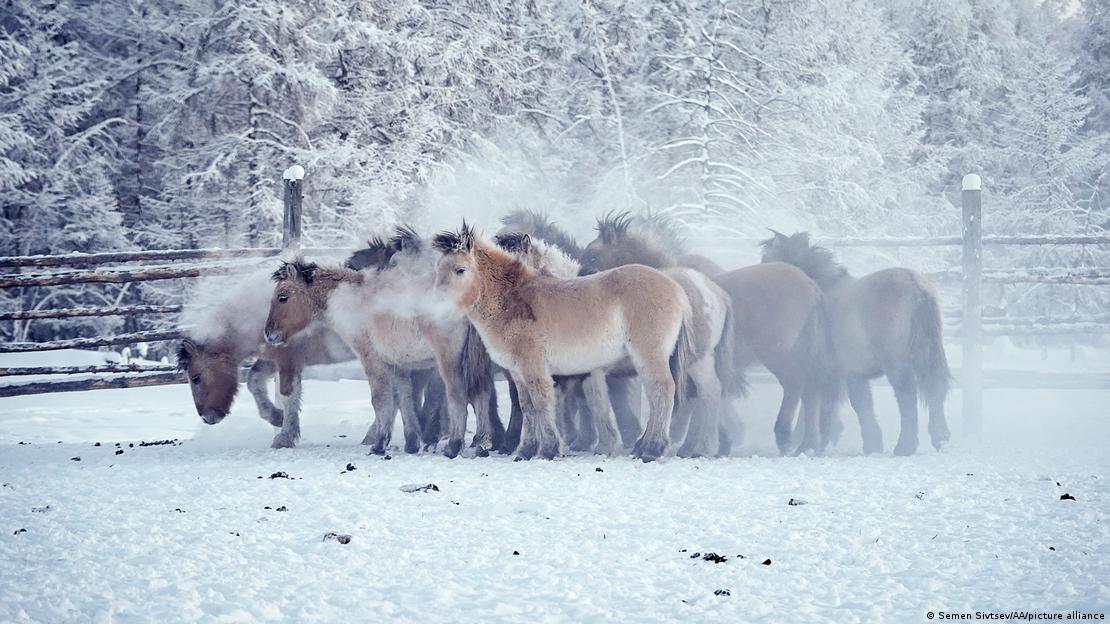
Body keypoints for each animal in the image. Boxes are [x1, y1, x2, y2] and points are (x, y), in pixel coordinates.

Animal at [176, 269, 355, 448]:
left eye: (196, 378)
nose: (205, 418)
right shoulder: (272, 360)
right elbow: (254, 381)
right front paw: (276, 417)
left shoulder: (288, 361)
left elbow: (287, 395)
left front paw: (284, 437)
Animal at [264, 233, 504, 458]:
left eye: (282, 297)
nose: (269, 334)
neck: (353, 299)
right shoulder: (399, 365)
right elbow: (405, 400)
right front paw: (411, 443)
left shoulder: (372, 360)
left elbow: (380, 399)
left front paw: (379, 444)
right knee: (483, 394)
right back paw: (483, 444)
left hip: (449, 361)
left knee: (458, 394)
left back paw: (454, 445)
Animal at [432, 222, 693, 462]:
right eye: (438, 269)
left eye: (460, 269)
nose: (437, 305)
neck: (512, 300)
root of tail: (677, 289)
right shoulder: (518, 373)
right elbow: (527, 407)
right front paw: (526, 450)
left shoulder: (535, 368)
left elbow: (542, 402)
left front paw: (548, 449)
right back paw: (643, 447)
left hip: (649, 356)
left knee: (662, 391)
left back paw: (652, 450)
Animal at [760, 231, 951, 455]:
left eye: (767, 260)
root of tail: (916, 287)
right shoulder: (849, 372)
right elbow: (855, 404)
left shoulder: (836, 371)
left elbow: (843, 404)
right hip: (927, 352)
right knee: (935, 386)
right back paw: (940, 437)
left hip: (897, 363)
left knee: (906, 396)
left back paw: (905, 445)